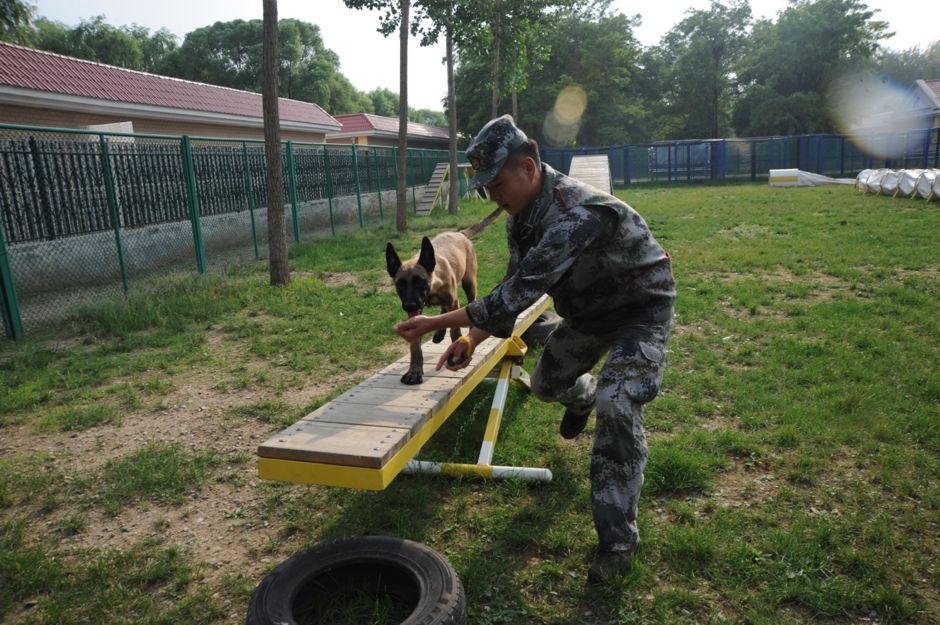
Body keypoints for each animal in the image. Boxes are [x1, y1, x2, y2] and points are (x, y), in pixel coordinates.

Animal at [388, 207, 506, 382]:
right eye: (400, 284)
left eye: (419, 281)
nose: (409, 305)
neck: (432, 286)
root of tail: (460, 234)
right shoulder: (417, 313)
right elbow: (415, 344)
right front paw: (414, 370)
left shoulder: (453, 301)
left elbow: (455, 329)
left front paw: (456, 353)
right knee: (444, 312)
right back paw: (439, 332)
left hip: (469, 283)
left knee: (471, 301)